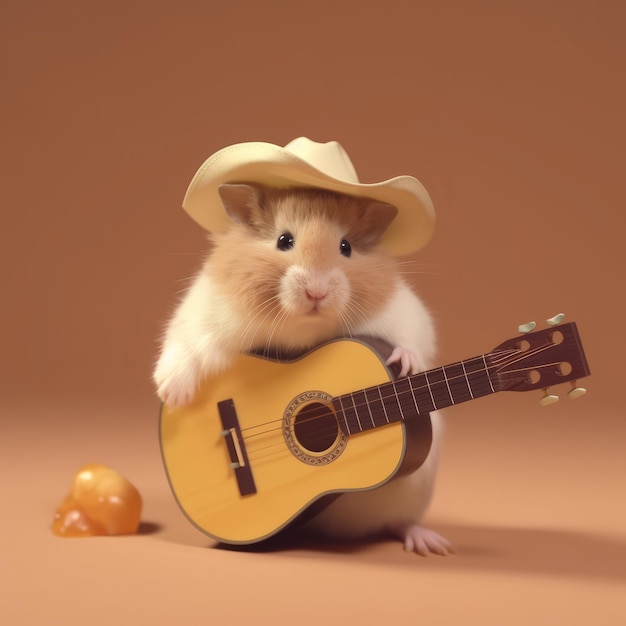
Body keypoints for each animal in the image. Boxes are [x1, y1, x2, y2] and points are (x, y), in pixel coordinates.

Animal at [154, 183, 450, 552]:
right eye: (284, 240)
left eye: (345, 247)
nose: (316, 292)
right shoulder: (207, 312)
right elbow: (186, 347)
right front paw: (172, 395)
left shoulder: (404, 314)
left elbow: (412, 342)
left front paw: (404, 363)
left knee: (399, 522)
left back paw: (431, 544)